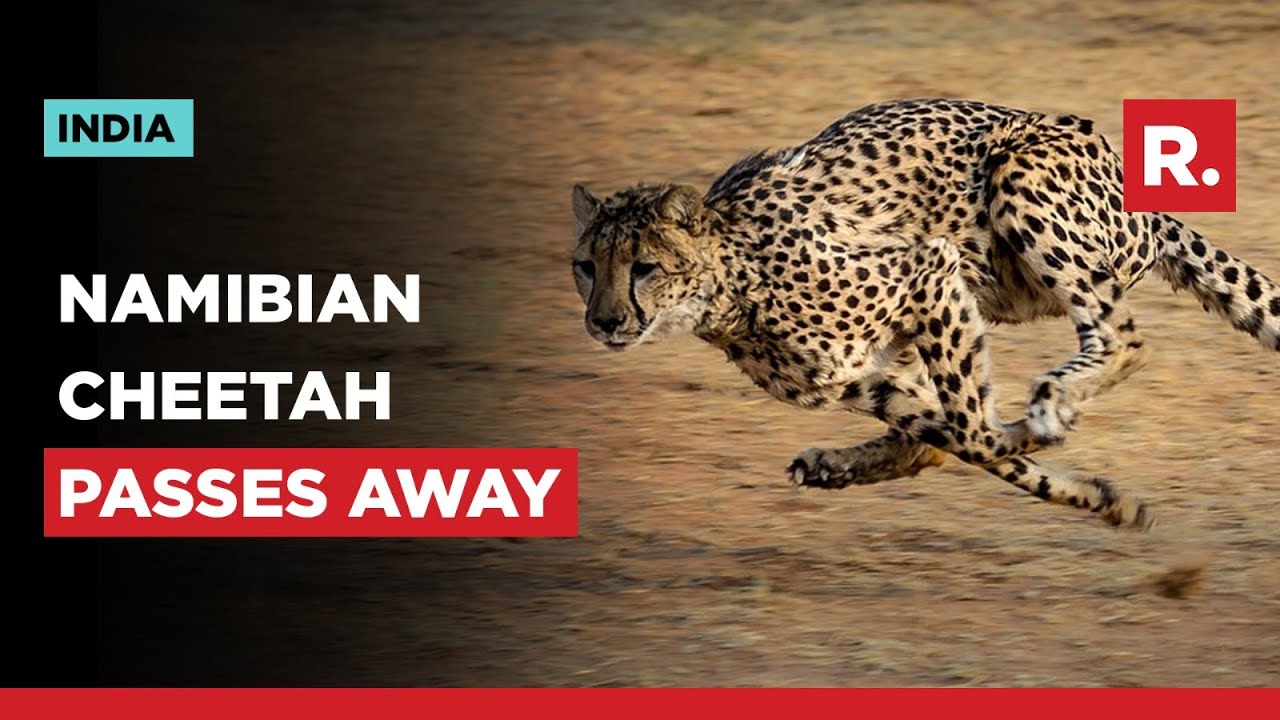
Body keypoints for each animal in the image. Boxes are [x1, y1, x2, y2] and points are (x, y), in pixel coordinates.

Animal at [569, 98, 1280, 530]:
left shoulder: (928, 269)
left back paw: (1052, 403)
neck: (728, 282)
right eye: (585, 267)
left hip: (1019, 181)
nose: (604, 322)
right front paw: (1102, 496)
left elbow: (972, 432)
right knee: (928, 442)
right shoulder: (859, 376)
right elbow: (953, 437)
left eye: (643, 267)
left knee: (1125, 338)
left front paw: (1039, 439)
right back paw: (837, 465)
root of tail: (1137, 190)